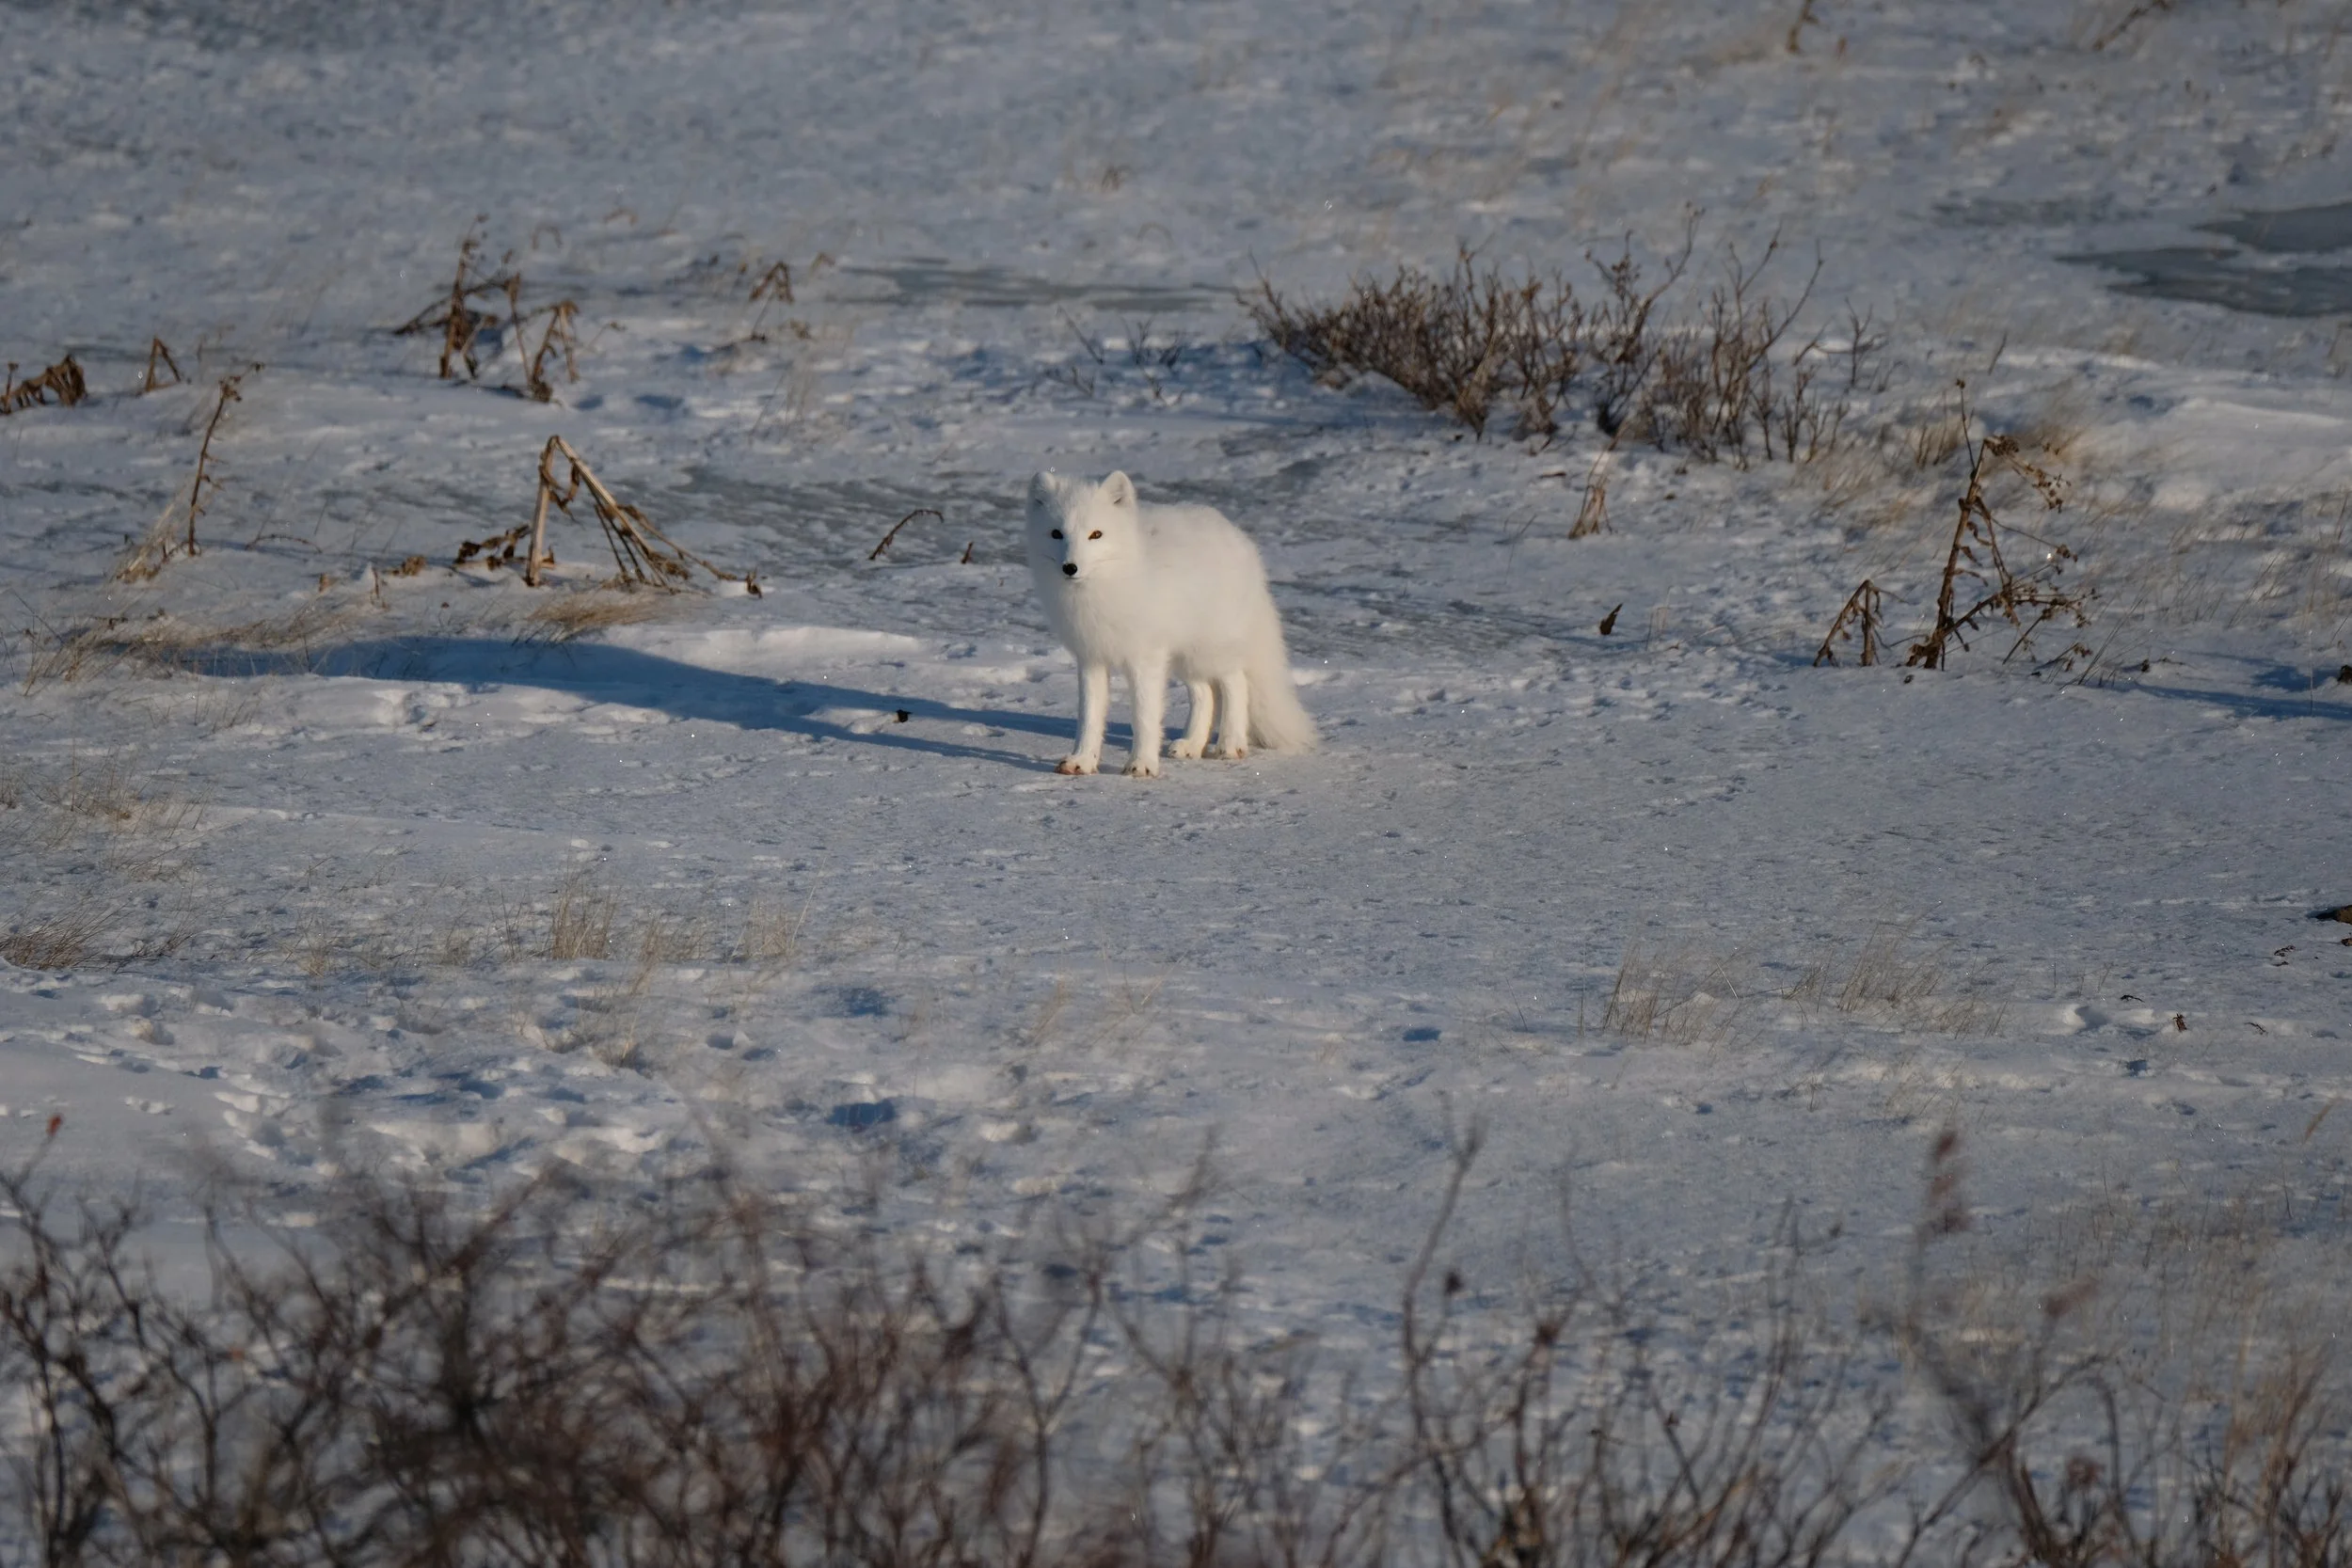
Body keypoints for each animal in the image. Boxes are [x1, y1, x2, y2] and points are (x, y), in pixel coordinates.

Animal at [1025, 470, 1318, 777]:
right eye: (1056, 533)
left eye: (1096, 534)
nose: (1070, 567)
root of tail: (1237, 536)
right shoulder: (1091, 656)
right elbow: (1089, 716)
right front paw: (1082, 760)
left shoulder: (1145, 657)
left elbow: (1144, 716)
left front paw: (1142, 764)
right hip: (1186, 656)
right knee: (1205, 694)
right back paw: (1192, 745)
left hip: (1210, 647)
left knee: (1235, 682)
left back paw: (1231, 743)